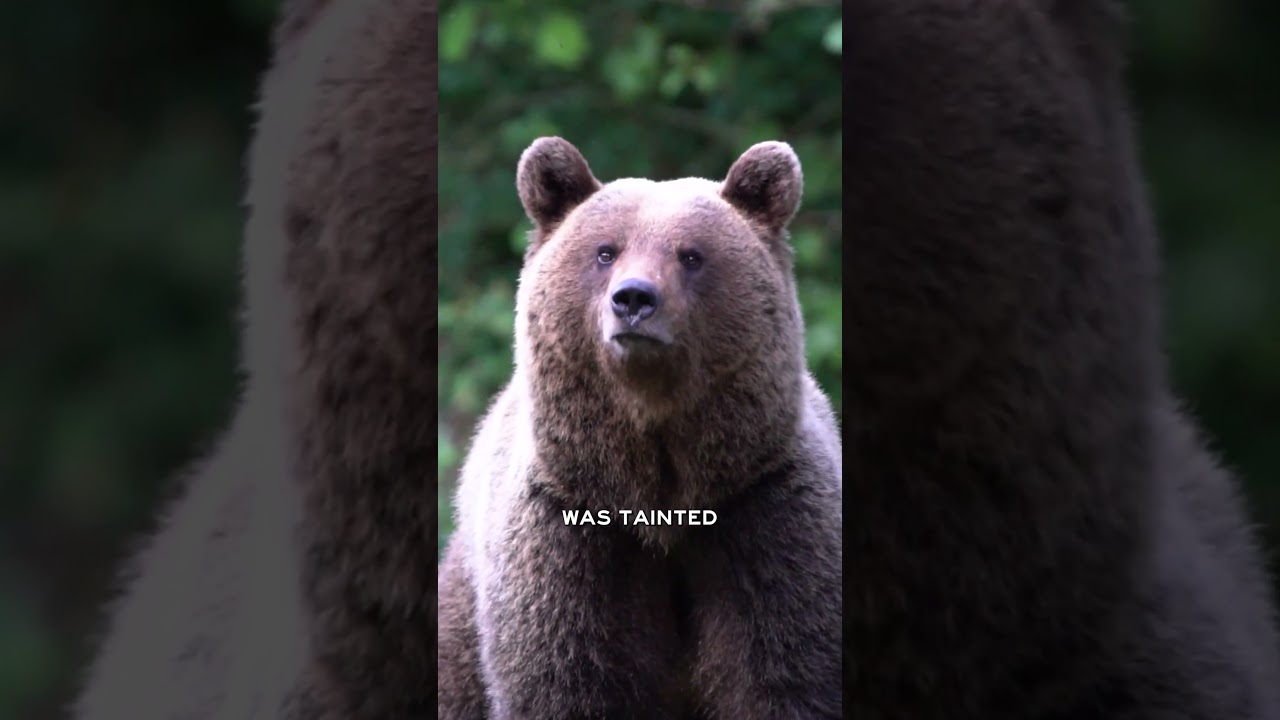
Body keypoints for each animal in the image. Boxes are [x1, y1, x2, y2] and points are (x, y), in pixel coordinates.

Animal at [436, 137, 844, 719]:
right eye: (606, 251)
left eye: (691, 255)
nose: (633, 299)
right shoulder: (570, 534)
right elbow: (567, 677)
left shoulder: (766, 513)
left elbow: (786, 671)